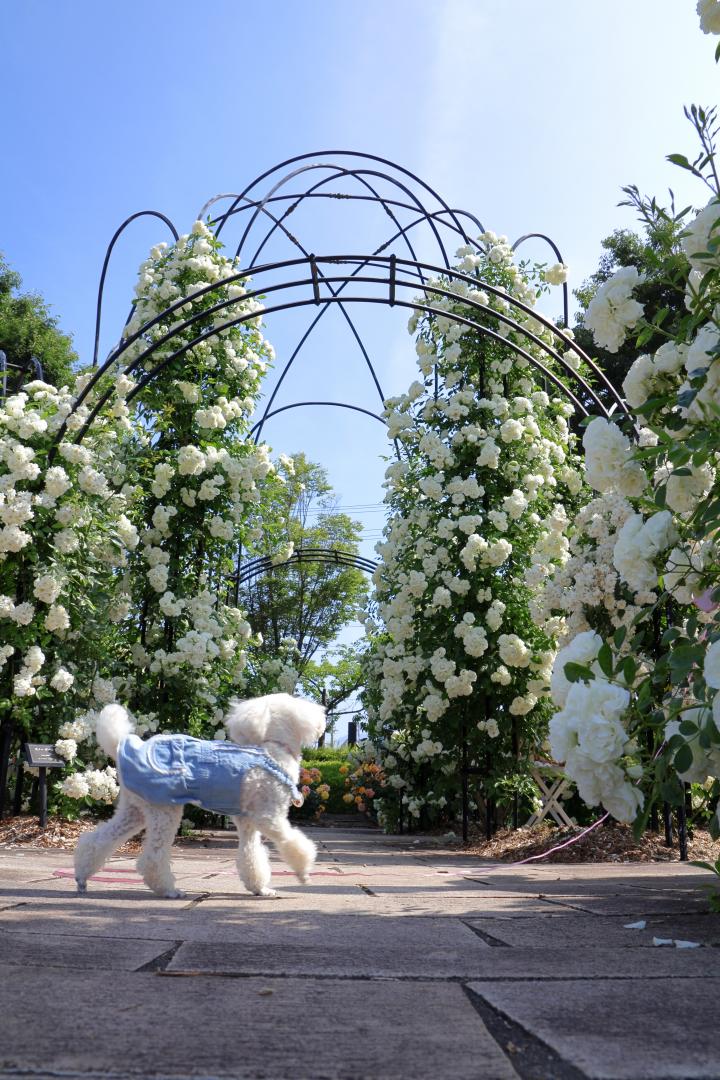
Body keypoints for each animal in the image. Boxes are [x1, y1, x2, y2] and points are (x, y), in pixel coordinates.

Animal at [73, 695, 325, 898]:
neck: (273, 750)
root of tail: (122, 747)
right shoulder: (269, 817)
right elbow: (292, 842)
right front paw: (303, 873)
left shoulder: (247, 822)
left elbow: (251, 855)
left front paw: (260, 889)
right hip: (164, 809)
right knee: (153, 857)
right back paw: (169, 891)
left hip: (135, 809)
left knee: (98, 841)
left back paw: (82, 877)